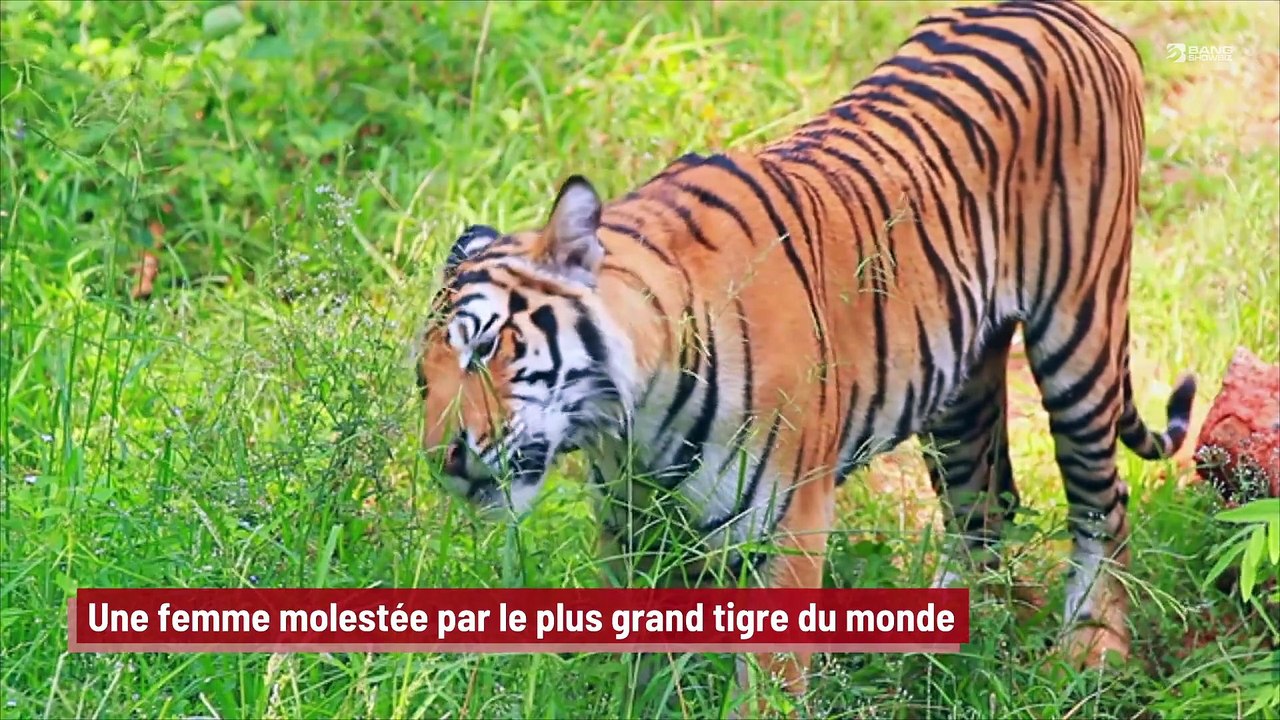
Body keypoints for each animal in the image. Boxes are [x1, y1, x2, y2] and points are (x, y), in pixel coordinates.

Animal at [415, 0, 1196, 703]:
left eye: (485, 345)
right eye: (423, 381)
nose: (443, 458)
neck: (629, 419)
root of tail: (1074, 13)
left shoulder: (789, 524)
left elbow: (764, 687)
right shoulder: (631, 527)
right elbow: (638, 669)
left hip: (1080, 333)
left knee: (1102, 503)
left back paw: (1093, 651)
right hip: (959, 383)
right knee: (988, 507)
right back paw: (937, 655)